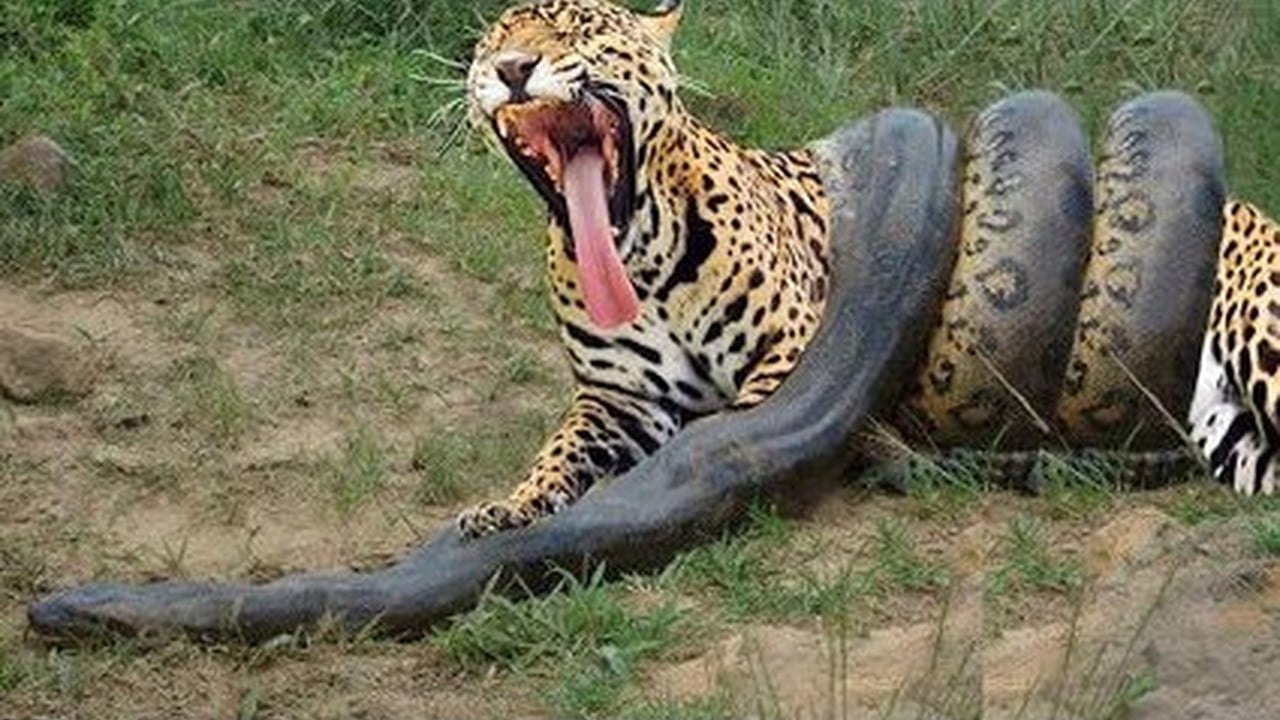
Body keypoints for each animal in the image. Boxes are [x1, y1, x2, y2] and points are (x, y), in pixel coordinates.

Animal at [457, 0, 1280, 538]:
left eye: (578, 30)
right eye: (495, 39)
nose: (513, 68)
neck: (642, 252)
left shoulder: (792, 349)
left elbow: (734, 430)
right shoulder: (617, 400)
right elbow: (559, 452)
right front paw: (507, 506)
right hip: (1226, 433)